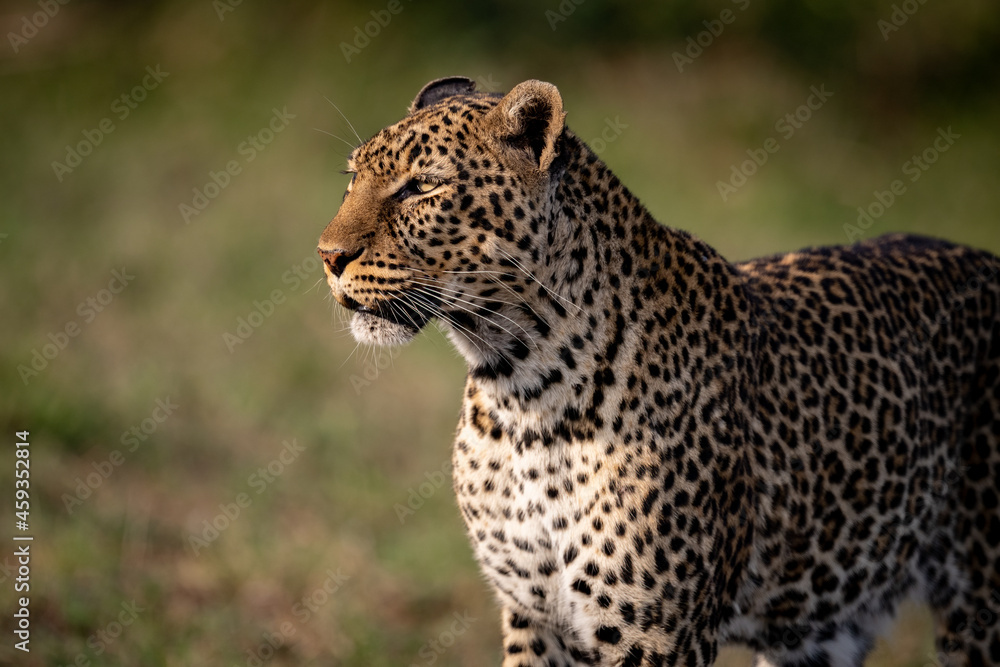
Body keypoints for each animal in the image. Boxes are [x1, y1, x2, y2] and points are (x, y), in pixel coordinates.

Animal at [316, 76, 1000, 666]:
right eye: (352, 178)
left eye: (421, 188)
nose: (327, 256)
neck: (521, 389)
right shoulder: (532, 616)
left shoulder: (656, 637)